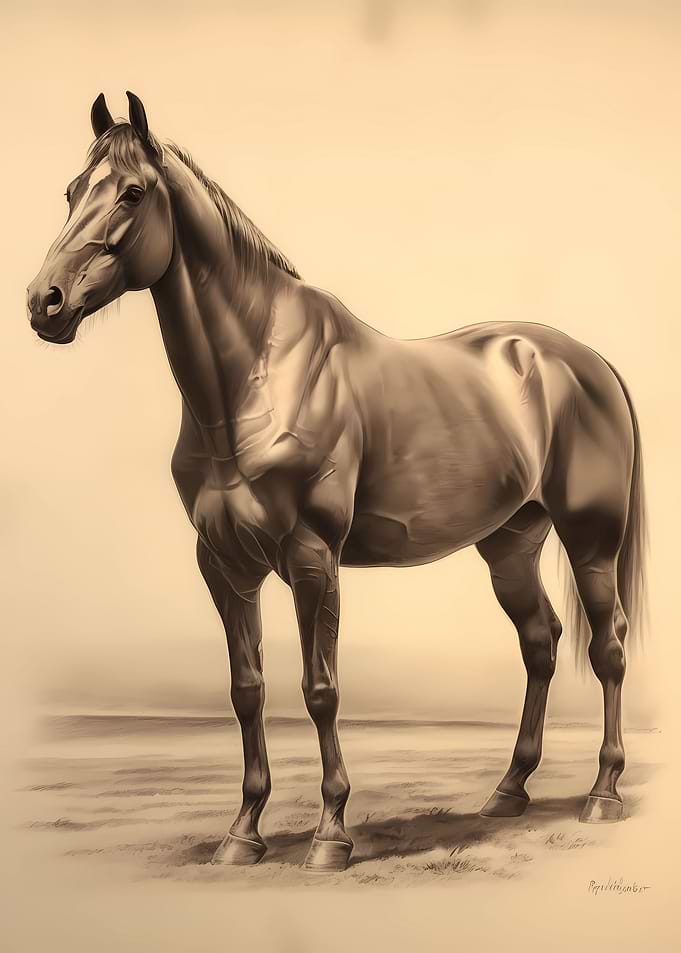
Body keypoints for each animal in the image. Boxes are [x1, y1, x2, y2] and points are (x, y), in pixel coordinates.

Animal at [27, 92, 647, 873]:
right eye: (73, 192)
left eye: (133, 193)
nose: (43, 302)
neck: (254, 378)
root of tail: (585, 361)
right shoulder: (223, 565)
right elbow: (247, 691)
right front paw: (242, 834)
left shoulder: (312, 558)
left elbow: (319, 689)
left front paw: (330, 834)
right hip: (510, 543)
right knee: (539, 643)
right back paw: (508, 792)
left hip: (591, 539)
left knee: (607, 649)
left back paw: (603, 793)